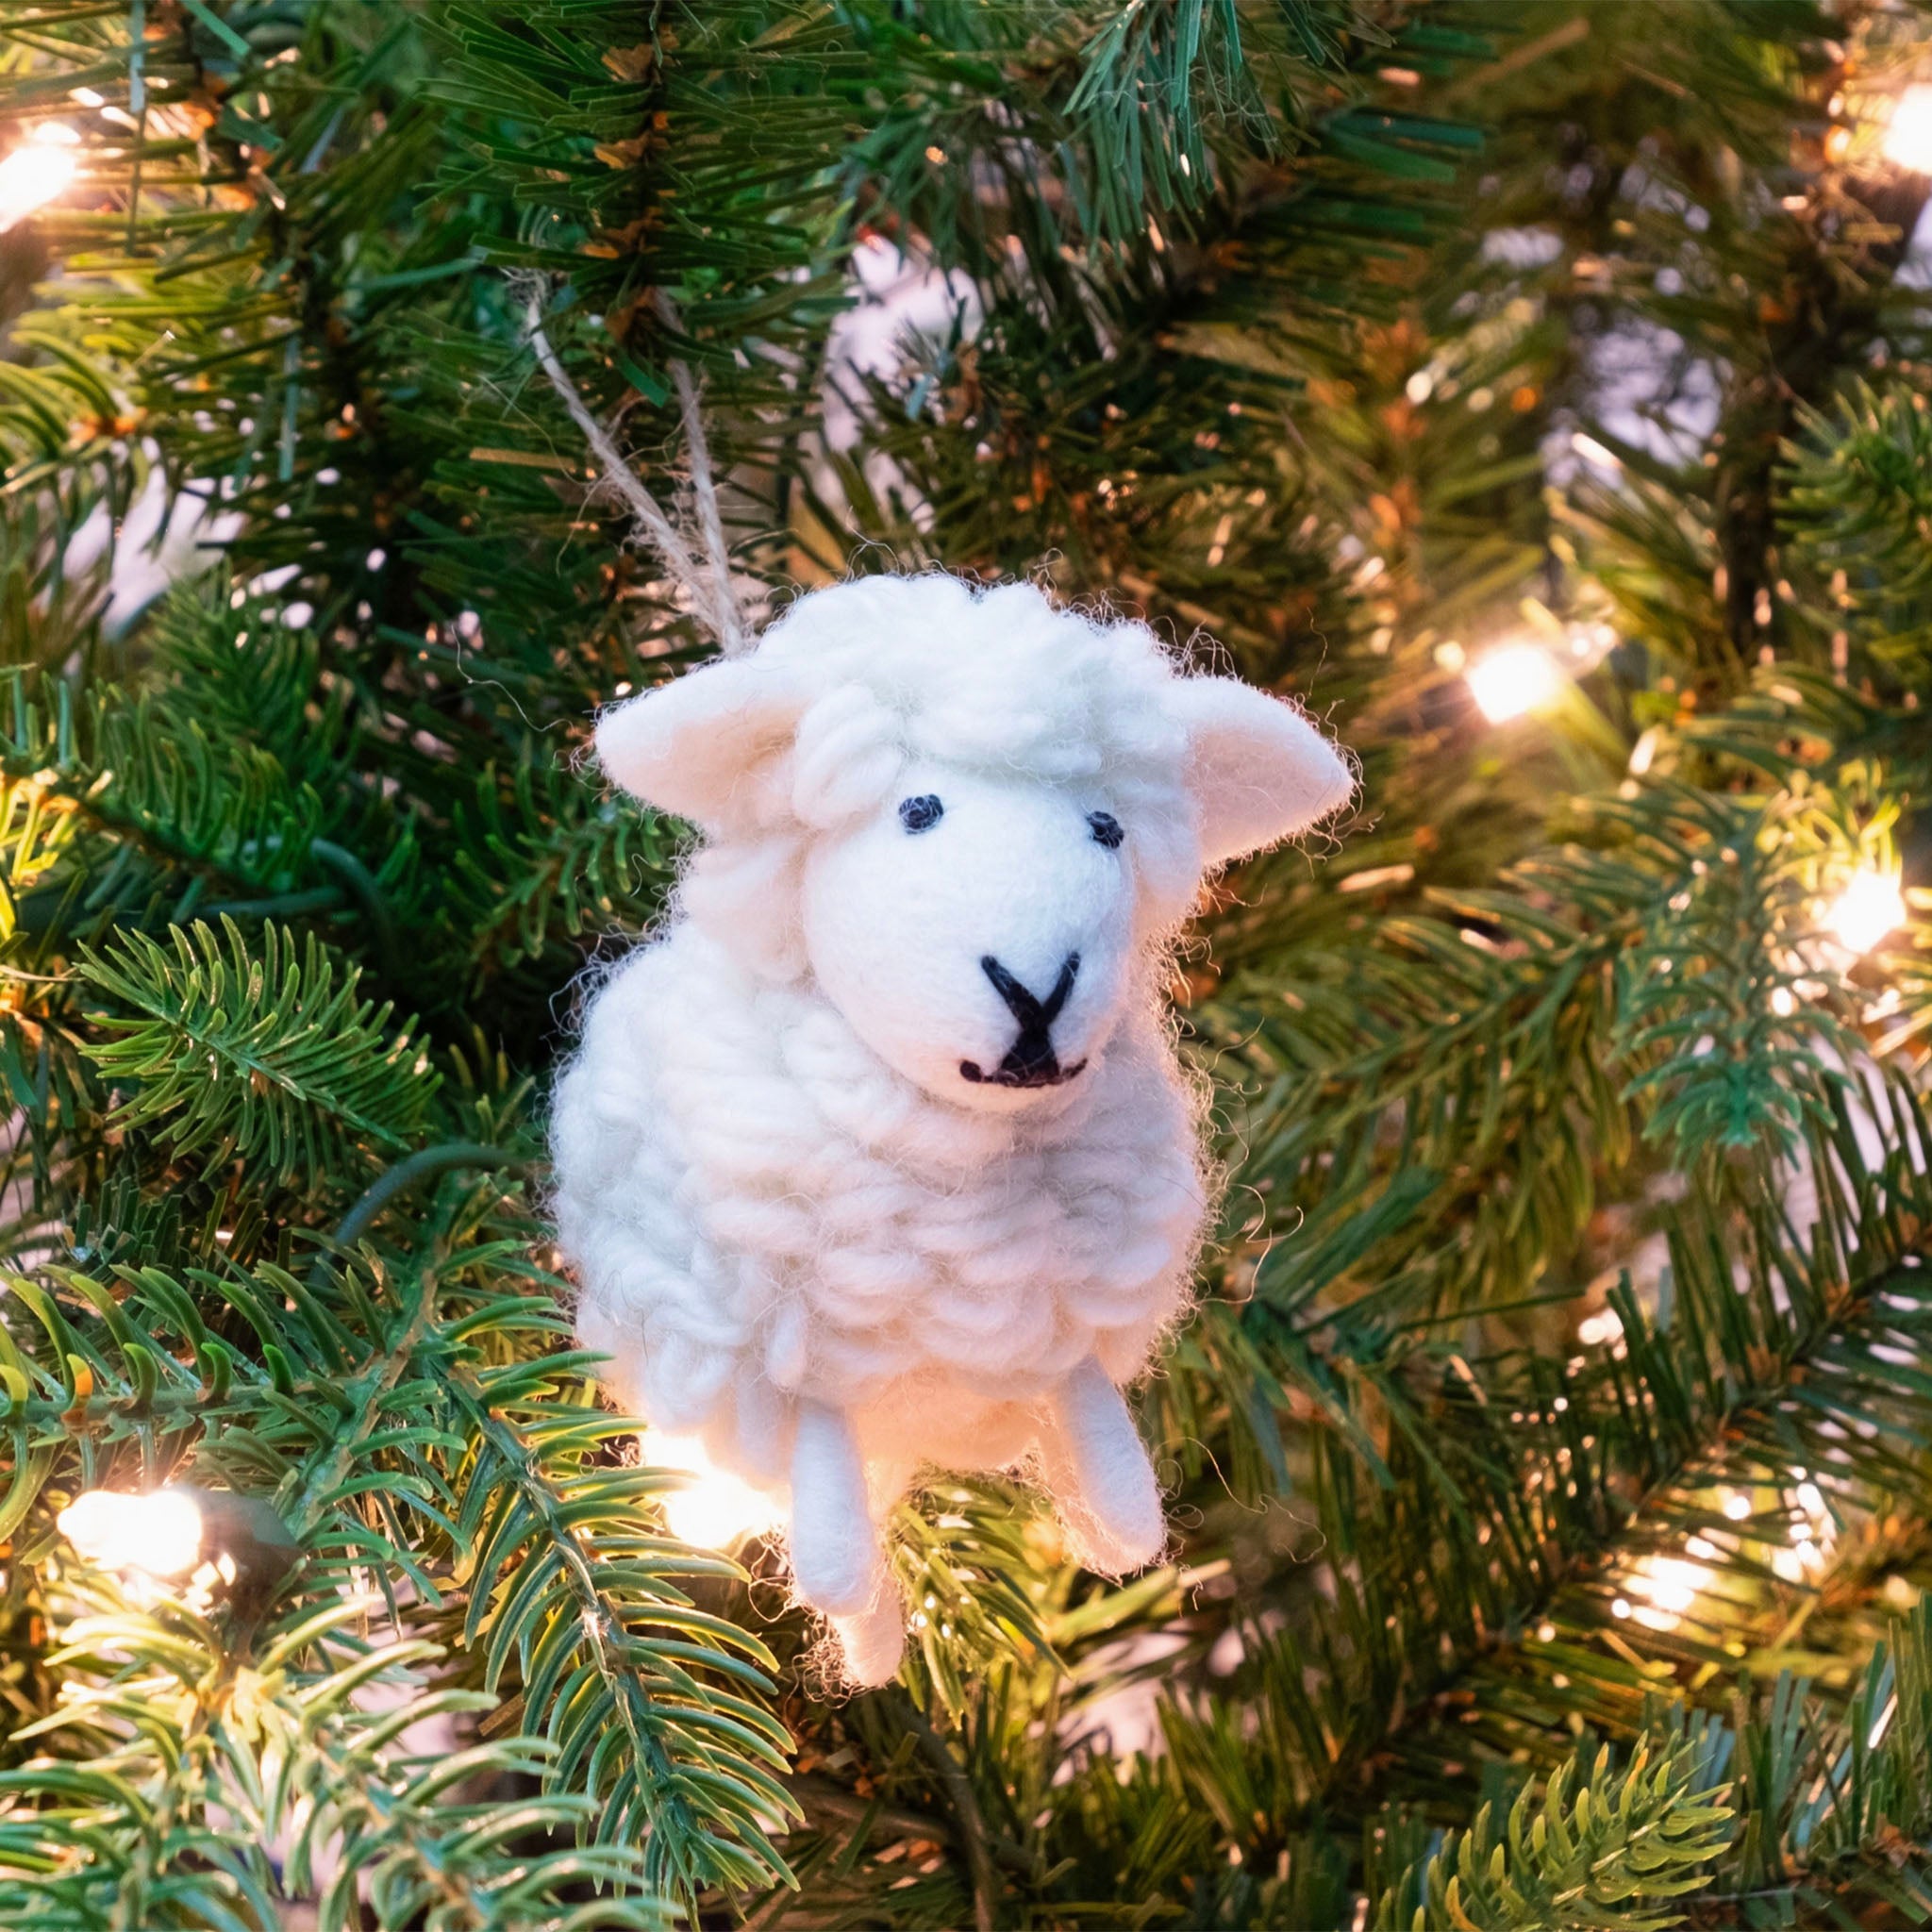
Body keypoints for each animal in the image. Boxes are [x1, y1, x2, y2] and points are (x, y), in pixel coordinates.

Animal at [552, 564, 1352, 1684]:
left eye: (1106, 827)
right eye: (917, 809)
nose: (1037, 991)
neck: (953, 1173)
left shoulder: (1060, 1311)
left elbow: (1088, 1406)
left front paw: (1124, 1523)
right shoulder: (789, 1341)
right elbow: (825, 1476)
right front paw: (844, 1586)